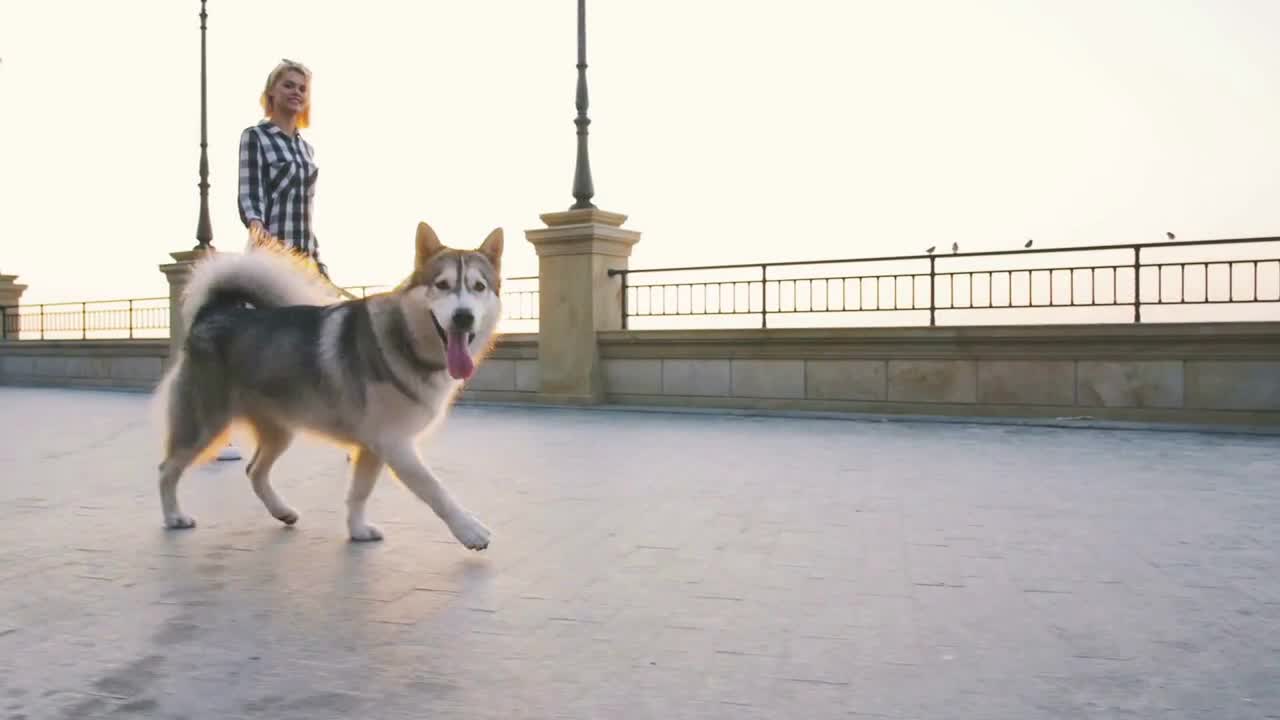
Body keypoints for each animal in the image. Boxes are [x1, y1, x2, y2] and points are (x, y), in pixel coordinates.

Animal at [152, 221, 501, 545]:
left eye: (479, 286)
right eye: (442, 285)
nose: (463, 316)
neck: (406, 339)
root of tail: (211, 313)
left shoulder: (375, 445)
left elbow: (359, 491)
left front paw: (357, 530)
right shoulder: (394, 443)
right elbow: (436, 490)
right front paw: (469, 530)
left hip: (280, 430)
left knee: (254, 471)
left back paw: (282, 511)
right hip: (203, 425)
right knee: (167, 469)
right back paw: (174, 516)